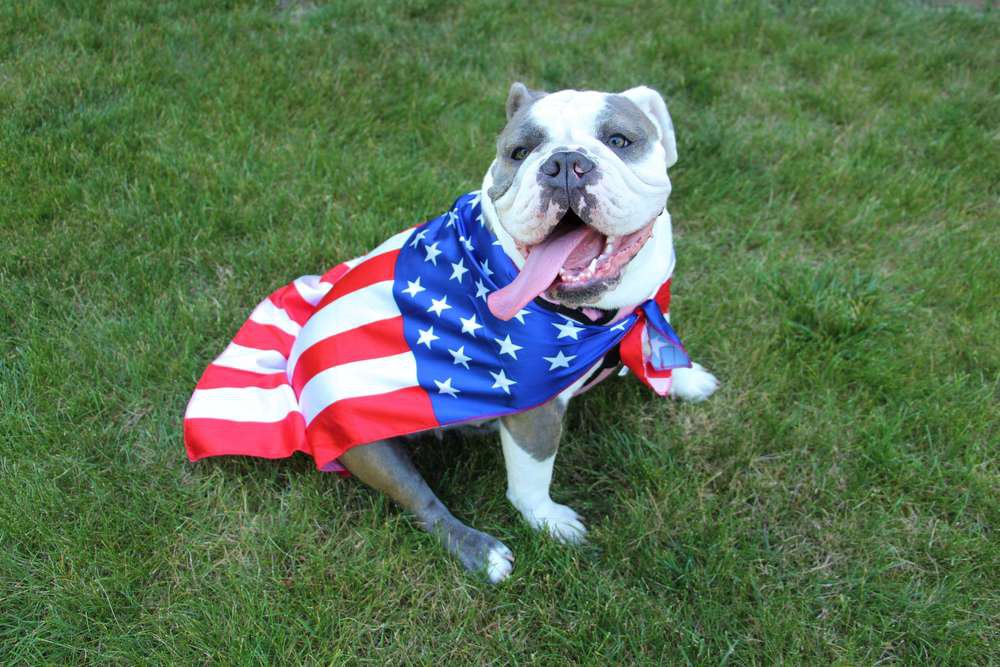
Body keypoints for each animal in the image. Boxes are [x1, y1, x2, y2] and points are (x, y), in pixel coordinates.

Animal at [340, 85, 716, 584]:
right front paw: (549, 521)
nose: (566, 163)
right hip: (368, 443)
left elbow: (657, 337)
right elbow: (531, 480)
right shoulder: (534, 414)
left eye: (619, 140)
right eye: (519, 153)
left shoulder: (648, 303)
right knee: (423, 504)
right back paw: (480, 551)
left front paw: (685, 377)